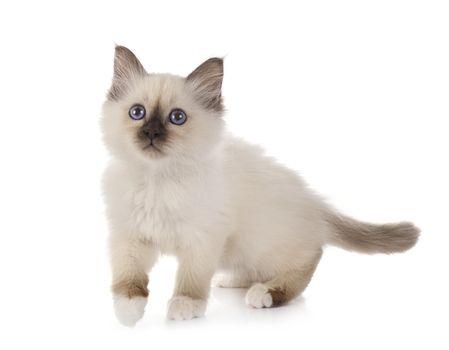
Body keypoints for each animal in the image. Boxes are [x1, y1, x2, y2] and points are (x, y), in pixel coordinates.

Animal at [102, 45, 420, 324]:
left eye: (177, 118)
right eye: (137, 113)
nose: (151, 133)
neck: (157, 180)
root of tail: (315, 202)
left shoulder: (203, 240)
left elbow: (191, 278)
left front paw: (184, 305)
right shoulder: (130, 237)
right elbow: (127, 277)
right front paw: (128, 311)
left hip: (260, 244)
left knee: (308, 261)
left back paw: (266, 293)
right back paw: (230, 280)